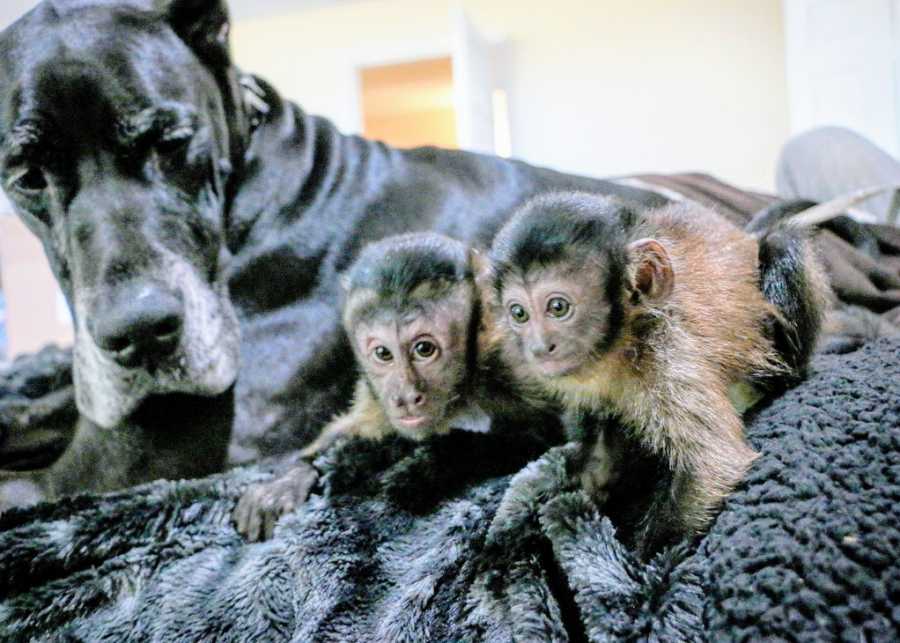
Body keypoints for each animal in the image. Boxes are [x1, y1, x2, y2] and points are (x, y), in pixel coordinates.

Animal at [234, 234, 548, 540]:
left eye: (424, 349)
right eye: (383, 353)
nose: (405, 397)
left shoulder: (508, 358)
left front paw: (426, 467)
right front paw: (290, 477)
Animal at [488, 192, 828, 560]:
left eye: (558, 307)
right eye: (519, 313)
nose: (538, 347)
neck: (624, 344)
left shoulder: (667, 353)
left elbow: (712, 464)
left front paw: (643, 571)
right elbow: (599, 461)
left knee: (781, 243)